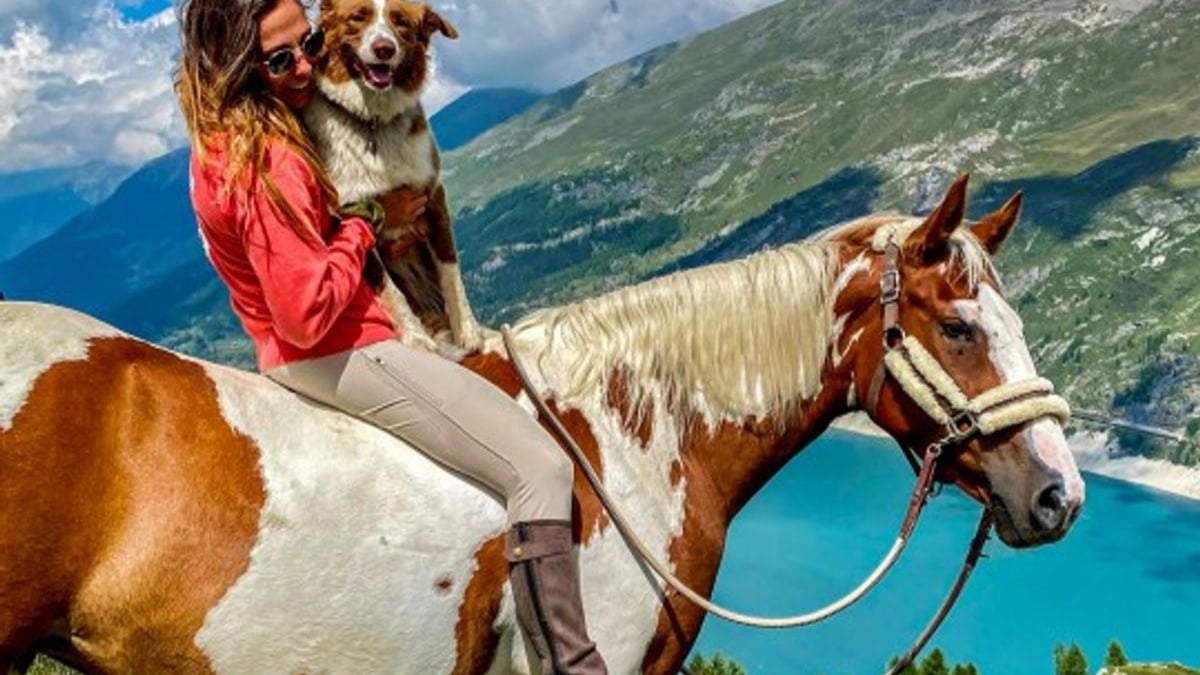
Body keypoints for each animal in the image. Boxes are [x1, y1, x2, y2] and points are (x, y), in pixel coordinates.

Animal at [304, 0, 482, 355]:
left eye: (401, 22)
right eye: (358, 17)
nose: (384, 49)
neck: (373, 122)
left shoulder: (431, 193)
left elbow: (449, 268)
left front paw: (467, 330)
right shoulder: (353, 213)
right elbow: (386, 286)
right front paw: (415, 338)